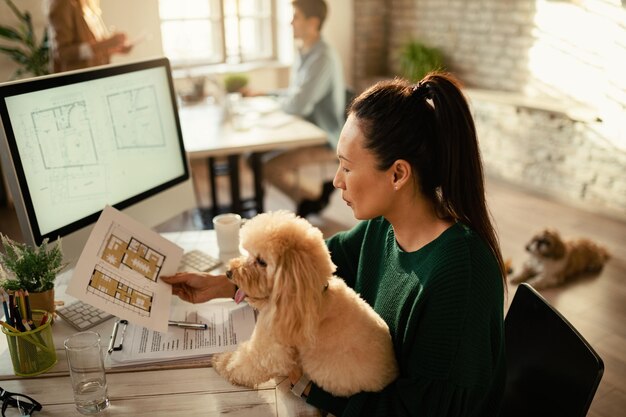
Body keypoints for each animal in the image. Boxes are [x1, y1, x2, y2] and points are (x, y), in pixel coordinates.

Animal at [210, 210, 394, 394]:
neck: (313, 296)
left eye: (262, 261)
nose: (228, 272)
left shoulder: (270, 349)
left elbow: (243, 365)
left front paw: (221, 360)